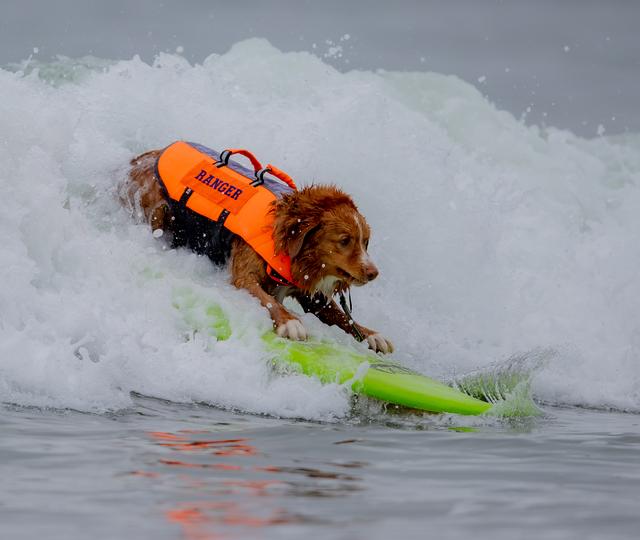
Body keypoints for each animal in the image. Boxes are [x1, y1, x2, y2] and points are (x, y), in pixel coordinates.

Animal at [119, 144, 390, 354]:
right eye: (345, 240)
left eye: (366, 241)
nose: (374, 273)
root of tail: (139, 158)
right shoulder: (243, 276)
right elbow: (268, 299)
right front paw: (289, 322)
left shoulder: (311, 296)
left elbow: (340, 315)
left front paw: (370, 334)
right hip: (157, 210)